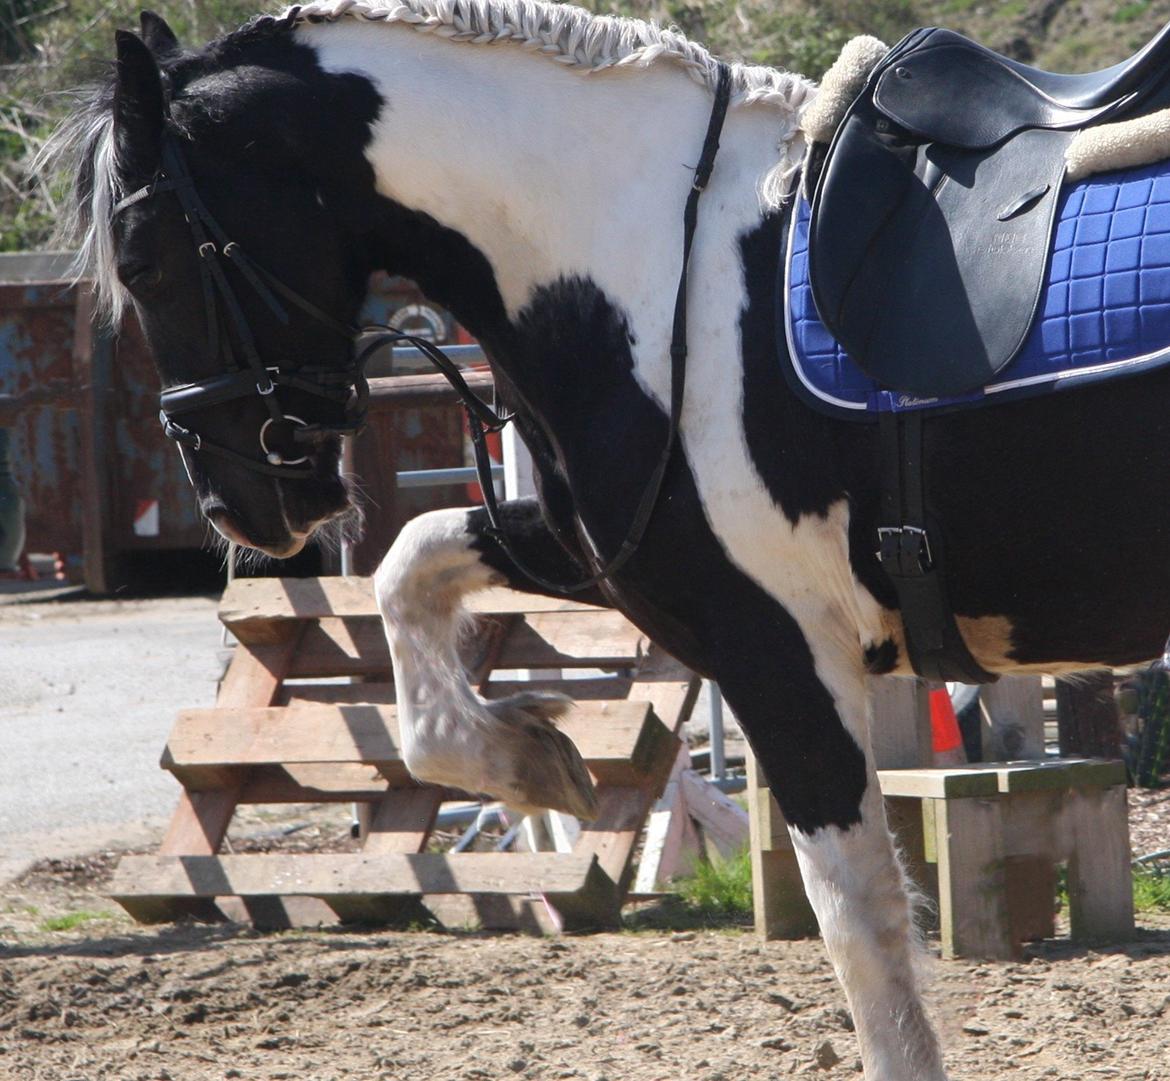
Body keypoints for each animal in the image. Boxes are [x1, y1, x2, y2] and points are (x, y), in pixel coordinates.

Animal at [45, 4, 1170, 1076]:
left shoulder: (780, 653)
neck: (653, 265)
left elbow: (862, 928)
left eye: (141, 259)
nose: (238, 503)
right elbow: (414, 572)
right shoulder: (602, 554)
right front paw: (528, 759)